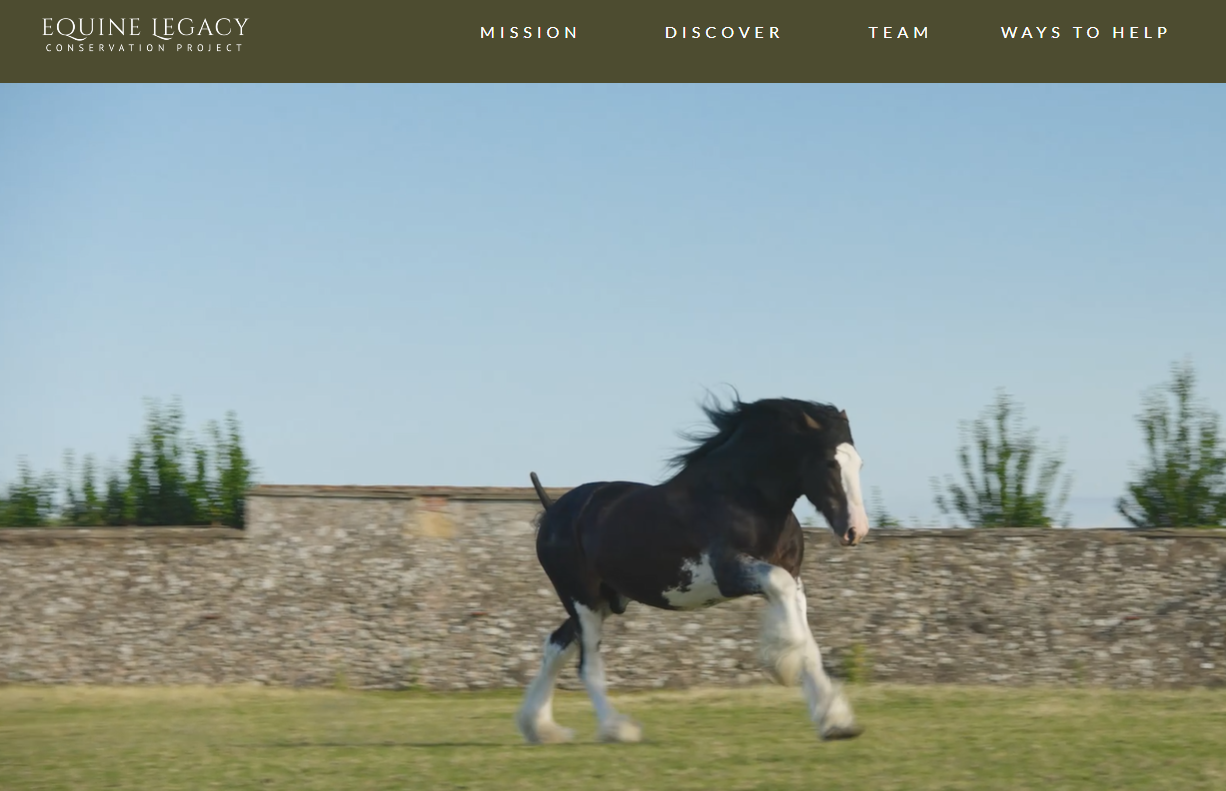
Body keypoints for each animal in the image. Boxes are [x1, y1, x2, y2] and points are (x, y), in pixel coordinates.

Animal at [515, 396, 870, 745]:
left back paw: (541, 728)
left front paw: (836, 722)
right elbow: (791, 622)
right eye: (829, 463)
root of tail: (553, 511)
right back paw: (618, 729)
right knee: (586, 665)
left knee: (556, 645)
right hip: (582, 599)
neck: (743, 497)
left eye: (859, 463)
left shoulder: (793, 579)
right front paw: (781, 666)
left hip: (604, 602)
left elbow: (808, 644)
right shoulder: (733, 574)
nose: (855, 531)